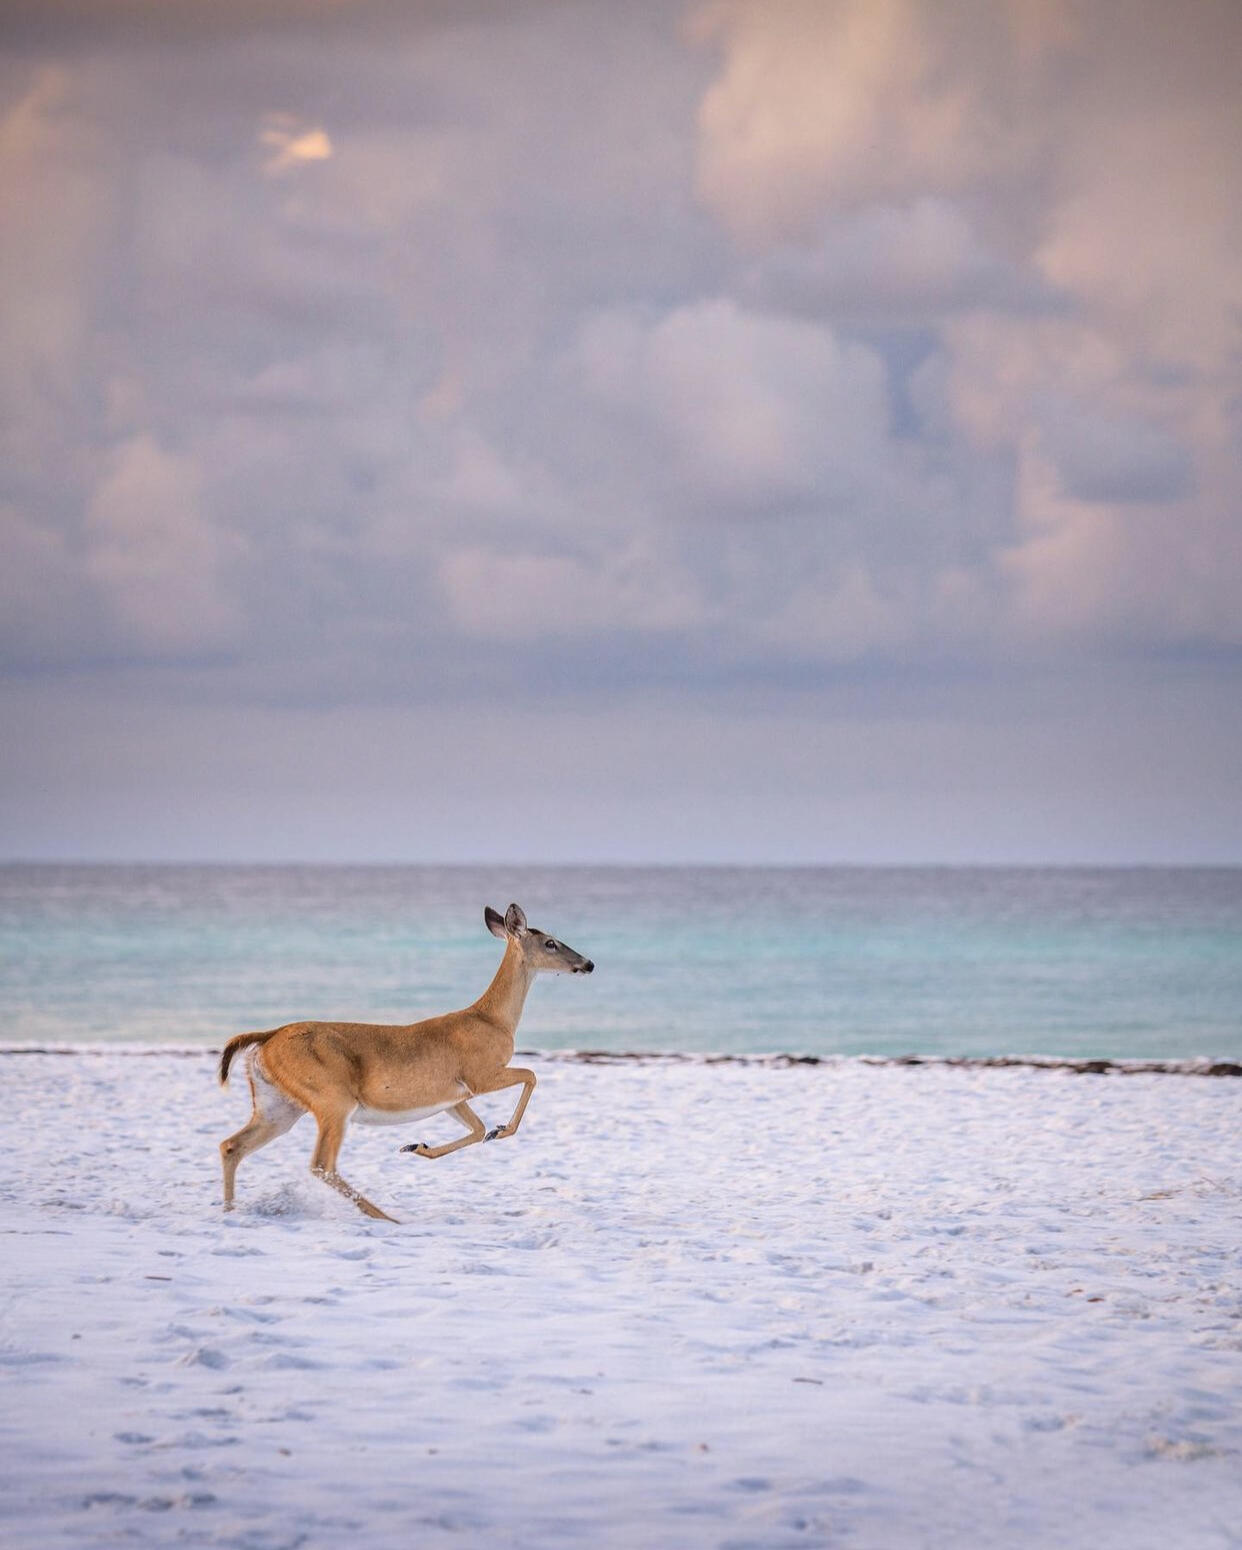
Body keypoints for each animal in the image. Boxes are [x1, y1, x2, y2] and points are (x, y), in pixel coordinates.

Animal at [218, 903, 593, 1222]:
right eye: (550, 943)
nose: (588, 964)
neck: (493, 1020)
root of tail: (268, 1038)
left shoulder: (452, 1096)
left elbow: (476, 1129)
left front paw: (417, 1146)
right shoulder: (480, 1074)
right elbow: (531, 1075)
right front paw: (500, 1131)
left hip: (278, 1103)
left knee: (232, 1145)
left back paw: (231, 1211)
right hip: (332, 1098)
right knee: (321, 1164)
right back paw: (386, 1216)